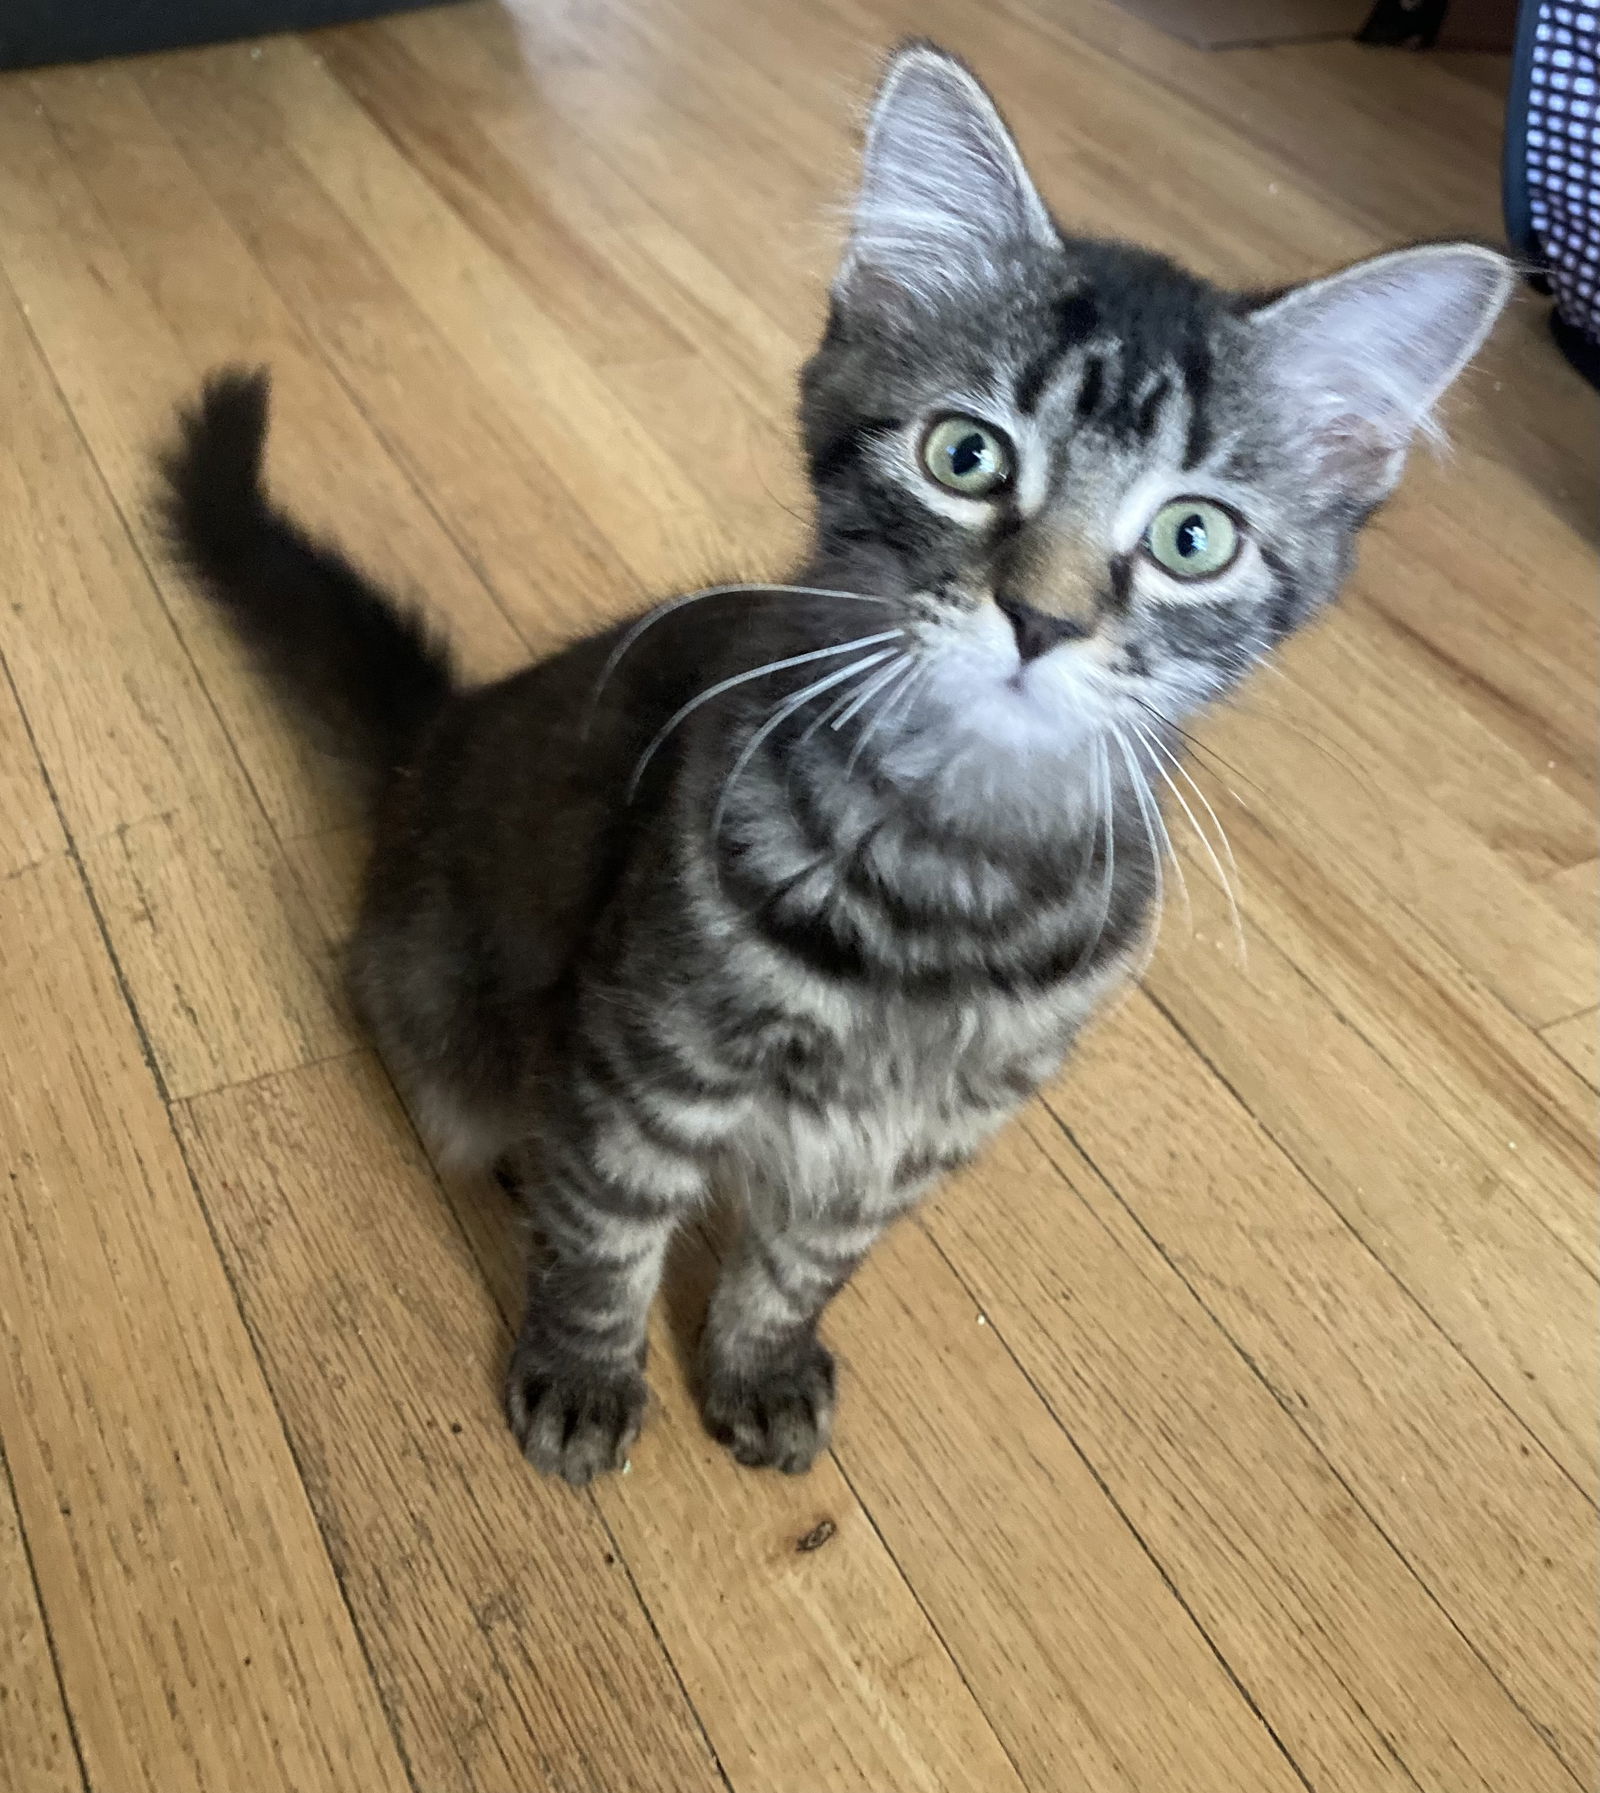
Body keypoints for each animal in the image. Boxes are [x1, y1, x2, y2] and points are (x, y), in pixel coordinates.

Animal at [162, 42, 1513, 1484]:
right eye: (965, 456)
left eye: (1193, 538)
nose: (1040, 620)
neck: (951, 870)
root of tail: (444, 726)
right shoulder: (646, 1057)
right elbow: (607, 1238)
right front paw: (583, 1374)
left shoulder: (898, 1146)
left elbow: (798, 1268)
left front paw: (754, 1365)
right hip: (449, 1029)